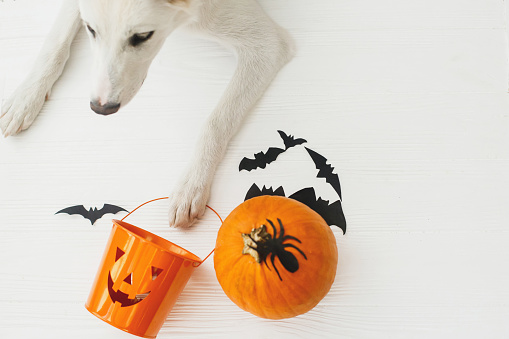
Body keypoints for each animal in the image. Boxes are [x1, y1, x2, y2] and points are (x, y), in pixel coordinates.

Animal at [0, 0, 294, 228]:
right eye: (91, 29)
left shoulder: (266, 45)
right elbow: (56, 41)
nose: (101, 108)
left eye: (142, 37)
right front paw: (25, 96)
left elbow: (215, 122)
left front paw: (191, 184)